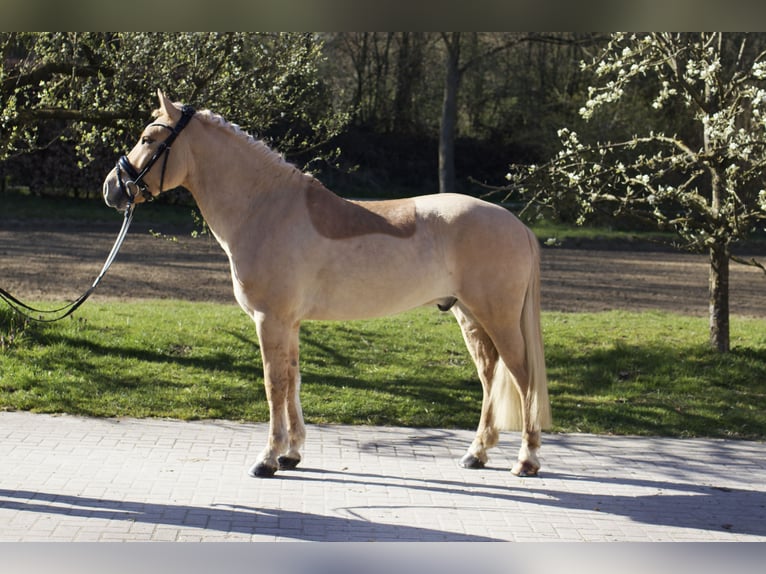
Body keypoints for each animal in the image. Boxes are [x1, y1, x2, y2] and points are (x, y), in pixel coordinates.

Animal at [102, 90, 551, 478]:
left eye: (148, 138)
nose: (111, 189)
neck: (265, 208)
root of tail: (517, 225)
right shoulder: (289, 324)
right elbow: (293, 382)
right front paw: (292, 454)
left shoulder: (269, 320)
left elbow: (274, 385)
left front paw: (267, 459)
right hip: (470, 317)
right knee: (491, 377)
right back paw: (477, 454)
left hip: (498, 319)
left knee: (523, 378)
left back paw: (526, 460)